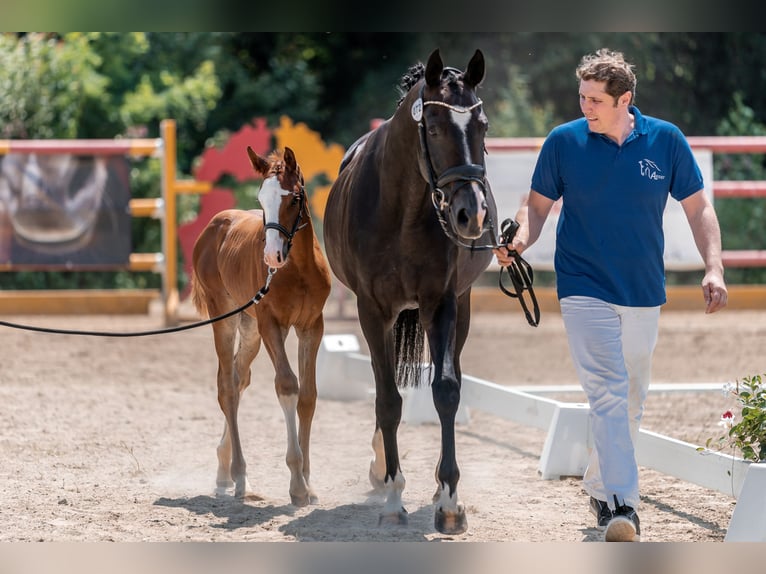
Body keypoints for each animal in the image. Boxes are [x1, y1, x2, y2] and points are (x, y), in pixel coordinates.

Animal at [190, 146, 332, 506]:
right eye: (261, 199)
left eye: (294, 198)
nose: (271, 256)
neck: (298, 268)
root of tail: (213, 225)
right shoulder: (272, 325)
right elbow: (287, 385)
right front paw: (296, 484)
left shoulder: (312, 326)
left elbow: (308, 396)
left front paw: (309, 482)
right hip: (225, 318)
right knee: (226, 387)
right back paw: (240, 477)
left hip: (249, 328)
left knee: (239, 380)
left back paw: (224, 473)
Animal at [322, 49, 498, 536]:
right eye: (433, 128)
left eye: (483, 126)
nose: (471, 215)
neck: (402, 208)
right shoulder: (372, 310)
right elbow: (387, 400)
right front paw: (393, 496)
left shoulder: (441, 303)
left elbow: (446, 391)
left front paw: (450, 500)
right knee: (384, 387)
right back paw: (381, 470)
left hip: (460, 309)